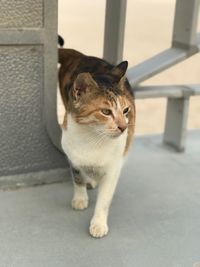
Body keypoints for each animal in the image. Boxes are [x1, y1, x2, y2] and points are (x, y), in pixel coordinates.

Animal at [58, 47, 136, 239]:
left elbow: (104, 199)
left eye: (126, 110)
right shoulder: (73, 157)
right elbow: (77, 178)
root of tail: (80, 55)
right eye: (106, 112)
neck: (93, 138)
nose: (124, 127)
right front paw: (80, 199)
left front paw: (98, 224)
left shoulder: (114, 167)